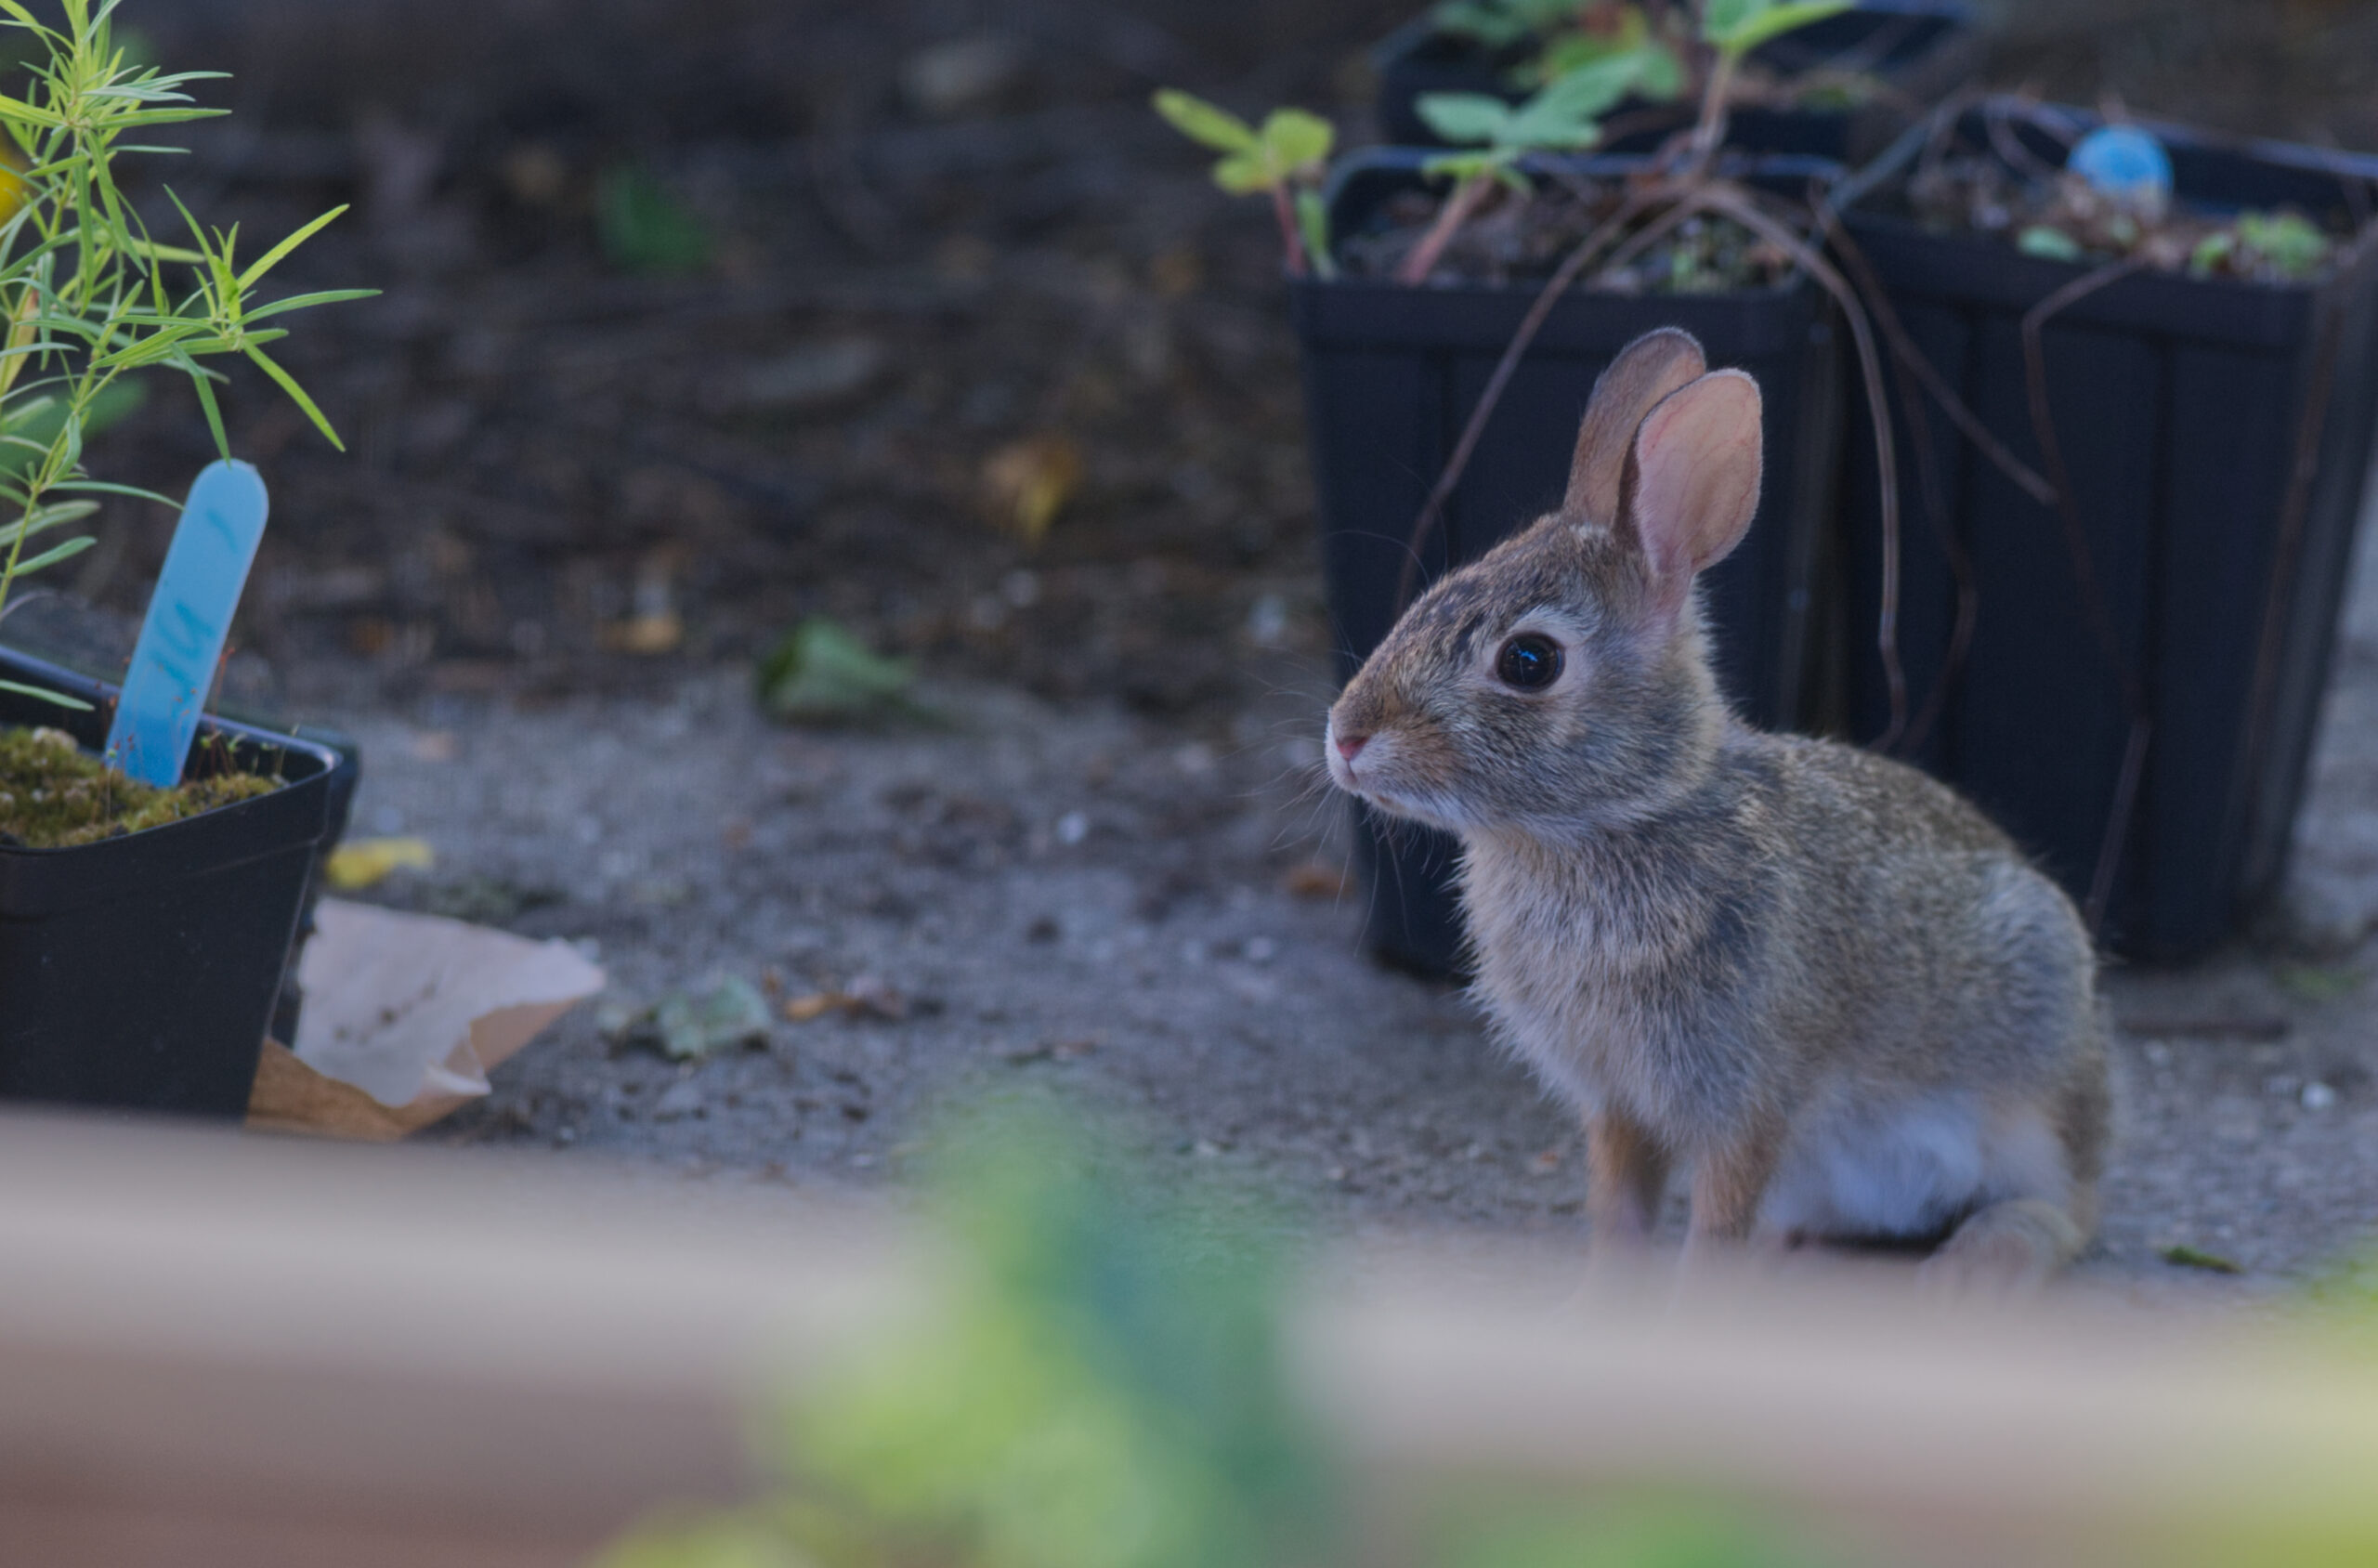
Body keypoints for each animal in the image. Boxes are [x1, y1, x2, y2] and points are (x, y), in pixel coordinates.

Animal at [1325, 327, 2109, 1289]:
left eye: (1529, 662)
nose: (1345, 738)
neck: (1621, 816)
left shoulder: (1745, 1098)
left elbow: (1712, 1230)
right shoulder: (1617, 1103)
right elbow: (1619, 1214)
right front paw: (1596, 1307)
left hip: (2036, 1075)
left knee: (2066, 1209)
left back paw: (1976, 1266)